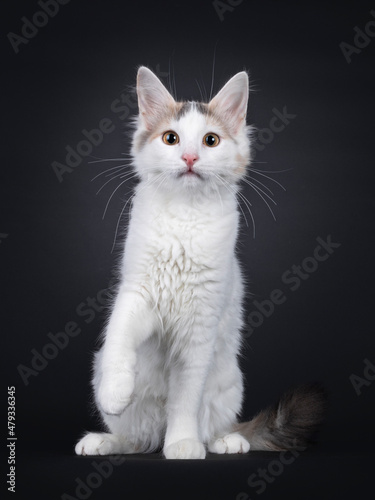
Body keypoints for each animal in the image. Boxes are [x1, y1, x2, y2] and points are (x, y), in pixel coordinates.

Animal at [75, 67, 326, 460]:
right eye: (171, 138)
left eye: (210, 140)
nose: (190, 158)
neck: (185, 217)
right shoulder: (138, 295)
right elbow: (118, 337)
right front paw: (115, 392)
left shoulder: (199, 328)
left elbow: (185, 399)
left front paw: (181, 443)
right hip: (111, 384)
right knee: (138, 439)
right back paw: (102, 441)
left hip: (229, 384)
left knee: (212, 427)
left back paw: (226, 441)